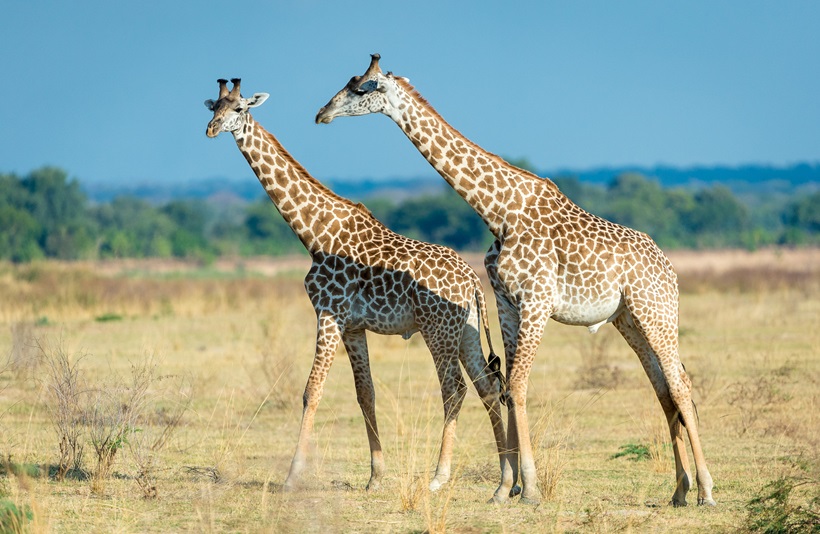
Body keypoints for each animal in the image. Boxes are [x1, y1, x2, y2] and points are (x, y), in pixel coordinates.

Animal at [205, 78, 513, 494]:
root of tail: (473, 284)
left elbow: (312, 391)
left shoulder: (328, 313)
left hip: (437, 330)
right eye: (213, 108)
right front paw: (375, 476)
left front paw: (292, 476)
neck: (313, 232)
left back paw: (439, 476)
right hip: (464, 331)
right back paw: (505, 477)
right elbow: (365, 394)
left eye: (238, 109)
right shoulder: (352, 326)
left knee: (455, 389)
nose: (212, 129)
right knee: (487, 386)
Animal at [315, 54, 716, 507]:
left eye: (361, 88)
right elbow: (506, 385)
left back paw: (705, 489)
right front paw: (504, 487)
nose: (322, 113)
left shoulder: (536, 301)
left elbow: (520, 385)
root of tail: (670, 269)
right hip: (628, 319)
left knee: (680, 384)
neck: (499, 213)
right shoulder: (506, 303)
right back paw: (679, 489)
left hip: (656, 310)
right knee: (663, 387)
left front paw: (530, 489)